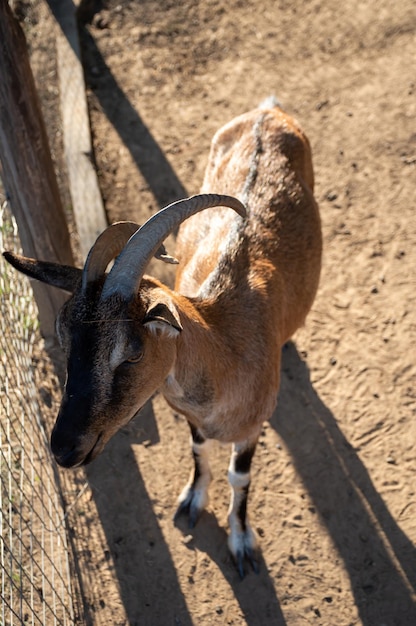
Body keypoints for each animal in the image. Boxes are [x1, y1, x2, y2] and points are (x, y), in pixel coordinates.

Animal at [4, 98, 322, 576]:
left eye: (132, 353)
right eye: (64, 340)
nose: (63, 449)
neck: (226, 345)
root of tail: (268, 110)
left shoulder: (253, 426)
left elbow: (240, 476)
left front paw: (241, 542)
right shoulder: (191, 417)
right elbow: (197, 450)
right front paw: (192, 501)